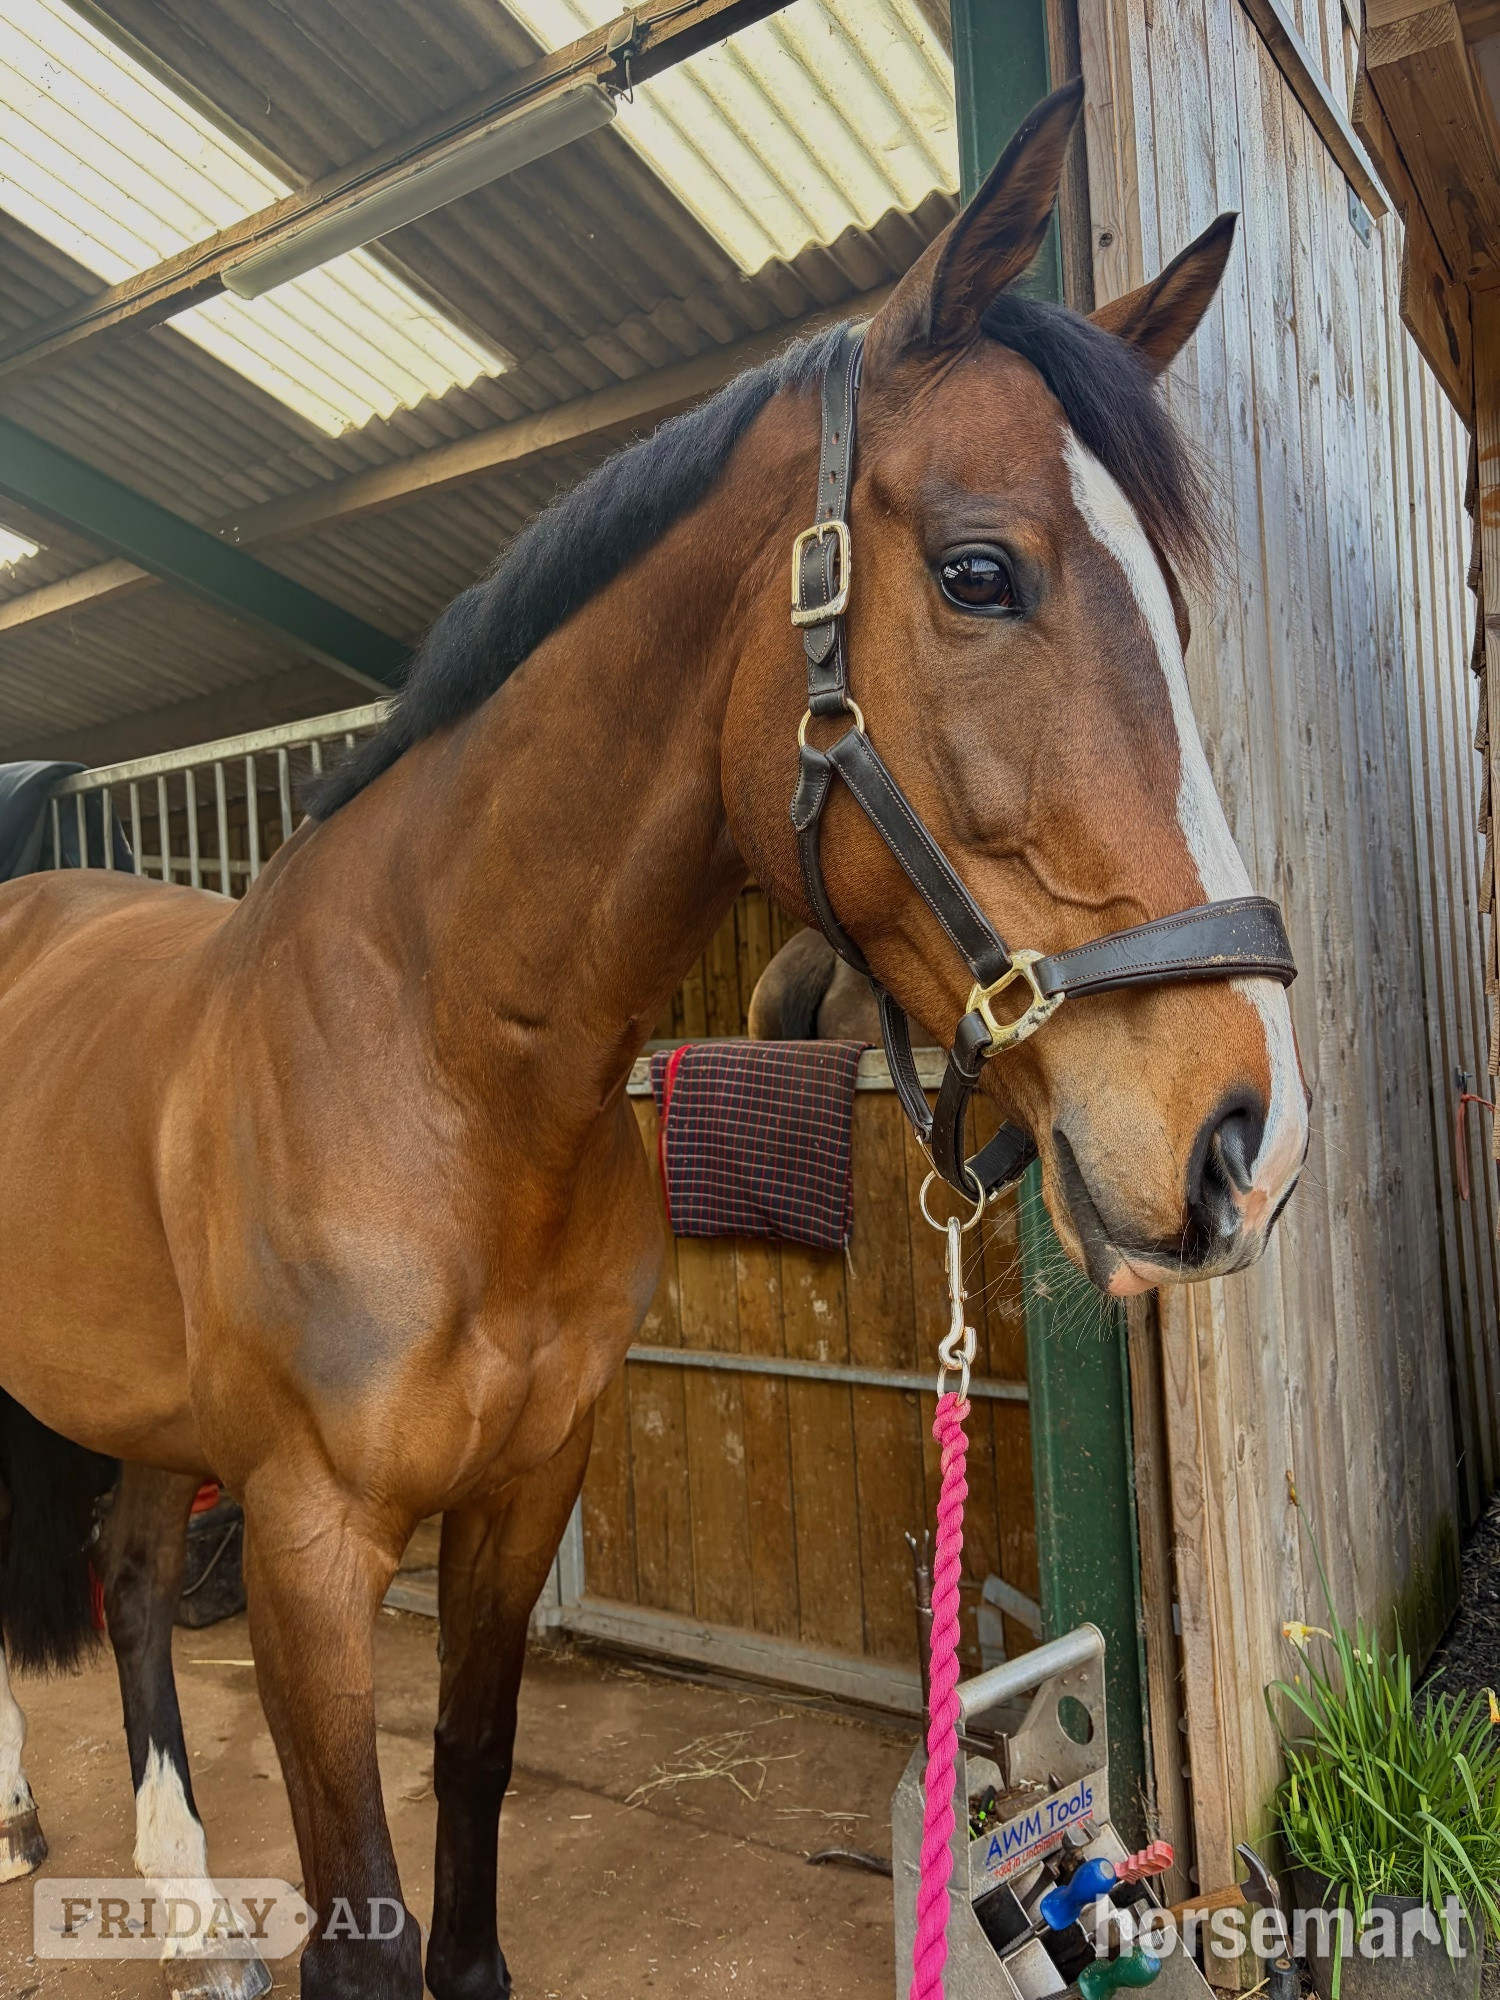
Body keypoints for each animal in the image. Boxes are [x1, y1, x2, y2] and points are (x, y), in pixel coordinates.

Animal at [0, 81, 1307, 2000]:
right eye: (982, 573)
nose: (1245, 1143)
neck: (447, 1068)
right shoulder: (311, 1545)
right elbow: (363, 1908)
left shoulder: (525, 1489)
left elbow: (471, 1778)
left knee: (146, 1579)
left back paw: (173, 1897)